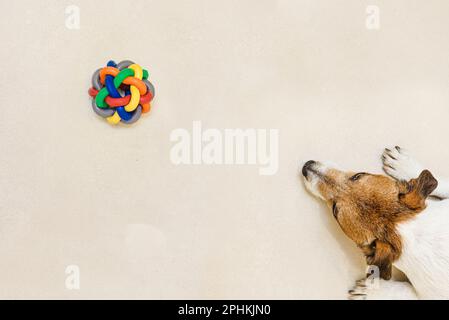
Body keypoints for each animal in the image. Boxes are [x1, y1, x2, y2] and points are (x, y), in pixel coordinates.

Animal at [300, 146, 449, 298]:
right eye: (358, 175)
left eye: (335, 210)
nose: (307, 166)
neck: (417, 231)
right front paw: (404, 165)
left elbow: (403, 291)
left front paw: (371, 290)